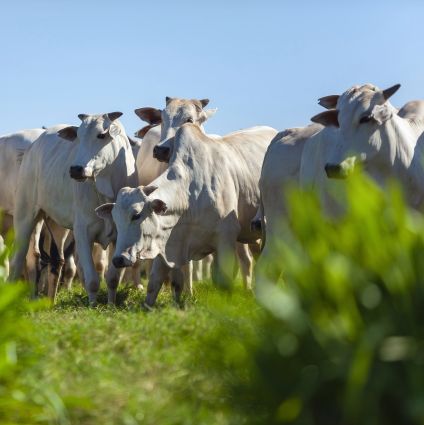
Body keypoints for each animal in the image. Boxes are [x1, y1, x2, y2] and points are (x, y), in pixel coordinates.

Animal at [9, 114, 137, 304]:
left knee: (56, 260)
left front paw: (111, 305)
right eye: (78, 136)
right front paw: (93, 306)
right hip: (25, 215)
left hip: (55, 226)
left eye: (101, 135)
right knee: (18, 260)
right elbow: (92, 279)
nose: (76, 169)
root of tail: (32, 147)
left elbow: (113, 278)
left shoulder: (121, 236)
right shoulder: (83, 231)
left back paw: (50, 300)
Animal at [96, 121, 278, 304]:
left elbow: (223, 280)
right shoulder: (165, 241)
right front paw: (148, 306)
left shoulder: (225, 240)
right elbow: (155, 282)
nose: (118, 259)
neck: (191, 195)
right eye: (116, 220)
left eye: (136, 215)